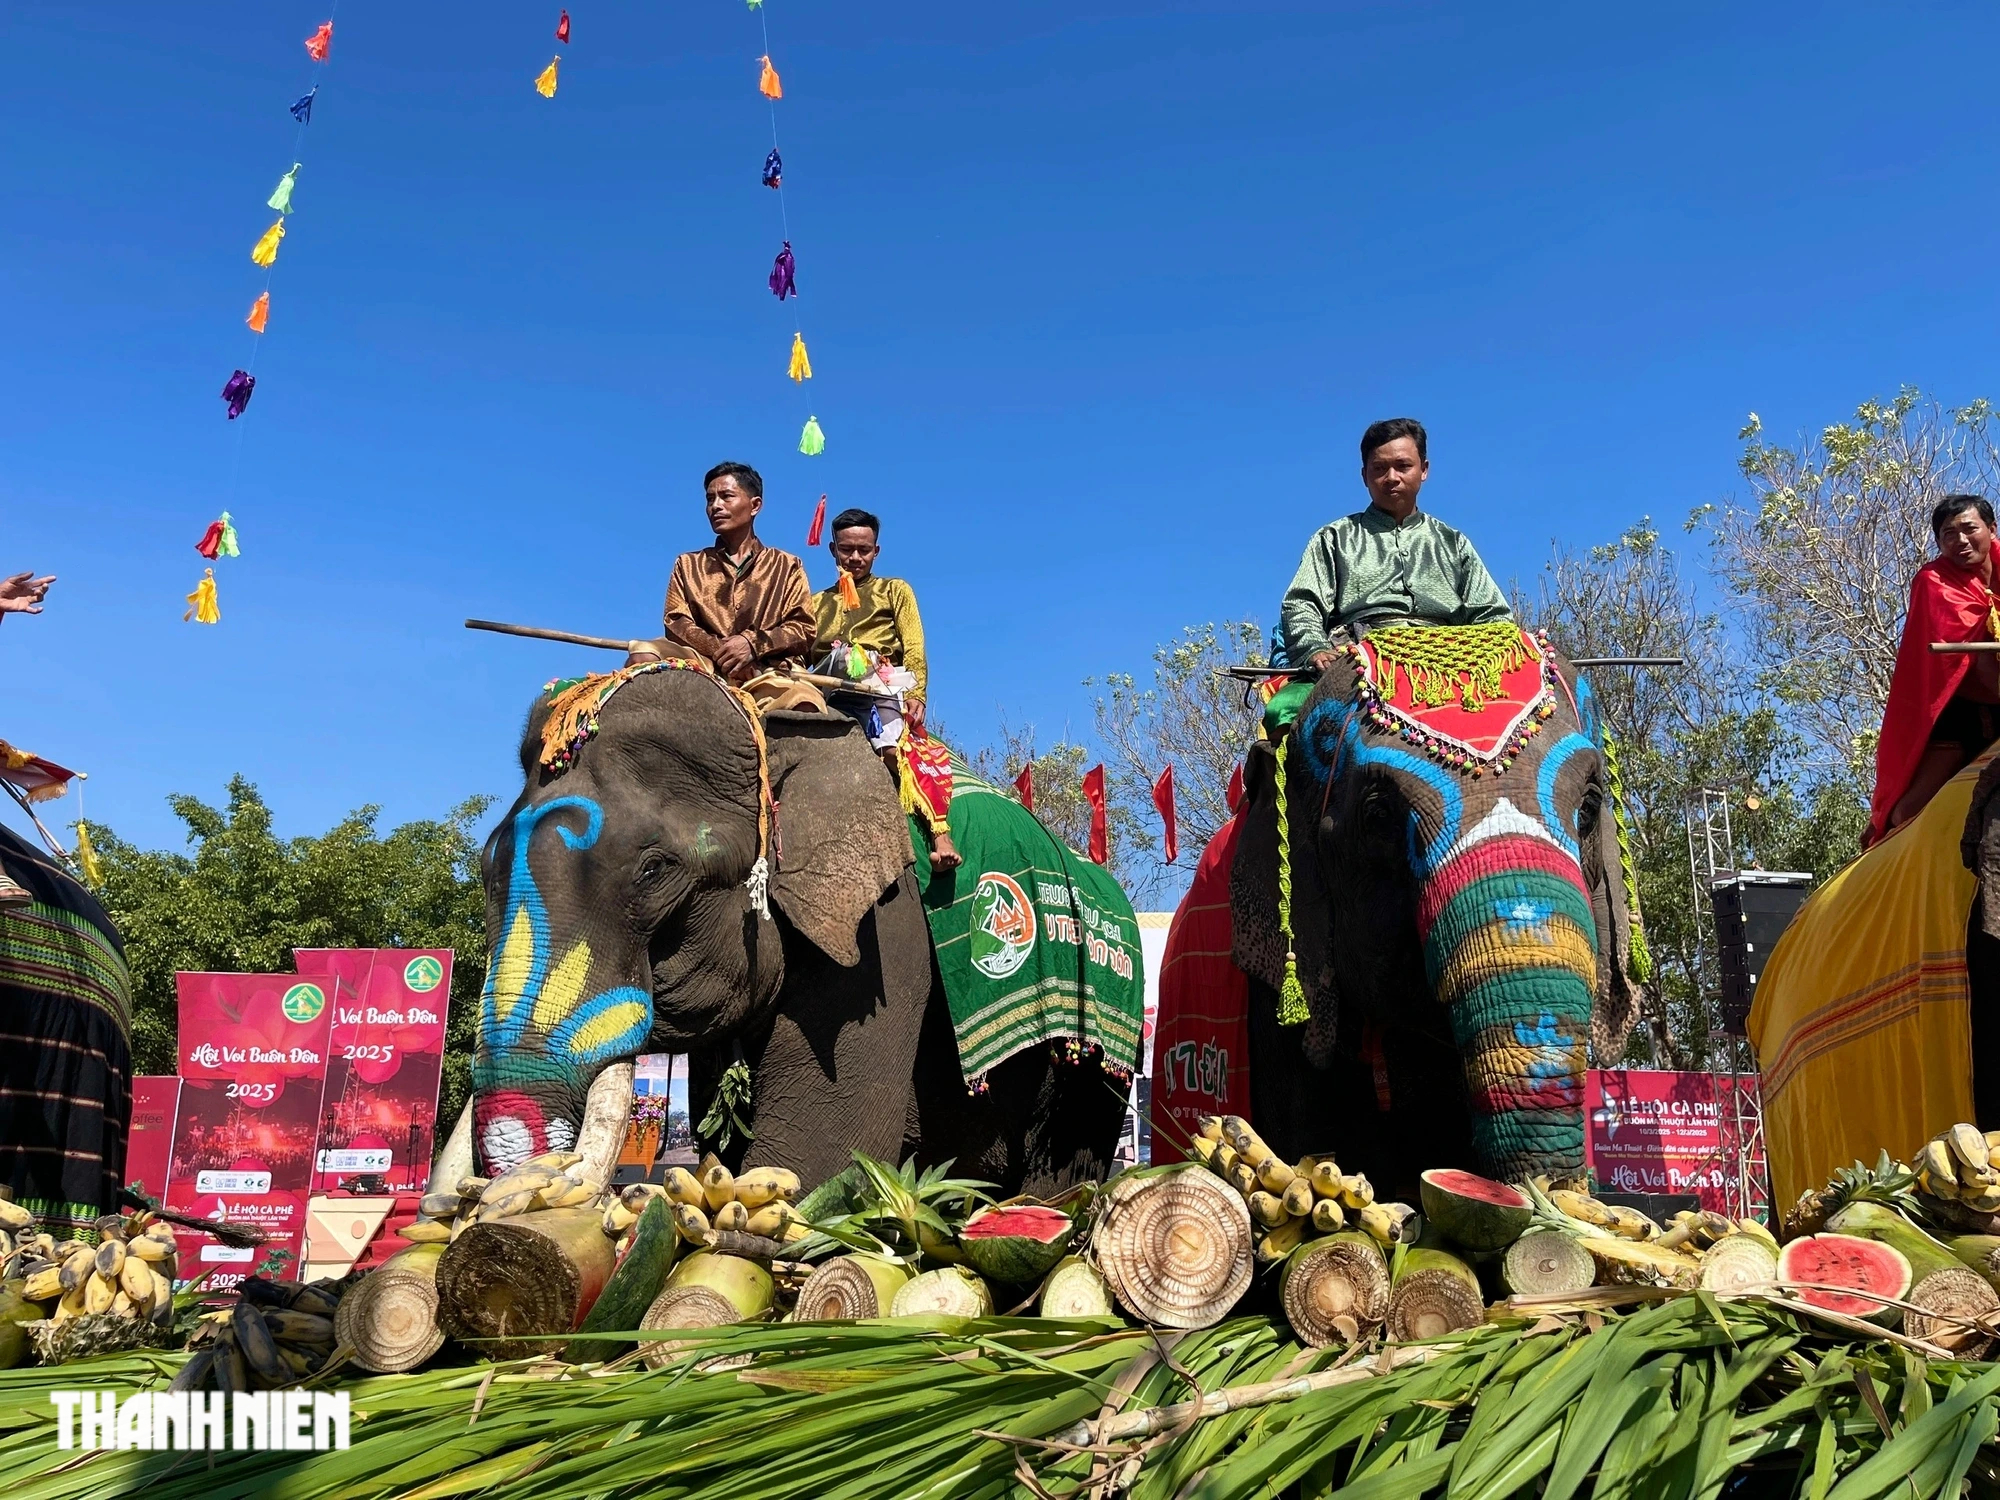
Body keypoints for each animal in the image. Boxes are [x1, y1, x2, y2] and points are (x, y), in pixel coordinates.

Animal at [434, 664, 1128, 1208]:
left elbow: (813, 1148)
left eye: (654, 871)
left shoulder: (882, 929)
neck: (782, 726)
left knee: (1063, 1169)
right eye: (486, 867)